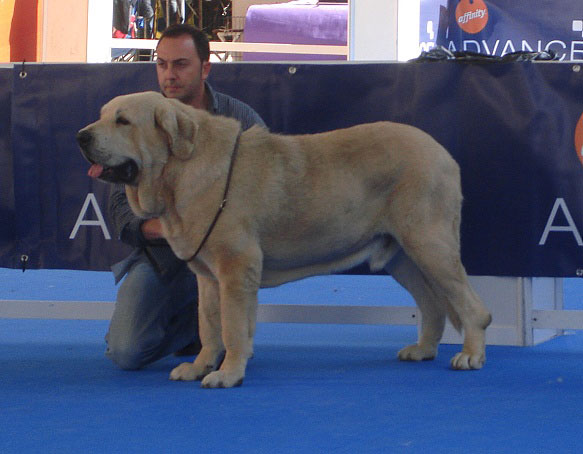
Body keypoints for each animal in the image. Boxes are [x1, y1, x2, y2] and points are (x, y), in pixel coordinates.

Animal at [76, 91, 492, 386]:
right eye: (101, 114)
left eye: (123, 120)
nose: (81, 135)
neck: (179, 170)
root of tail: (442, 152)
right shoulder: (208, 276)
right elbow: (209, 325)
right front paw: (199, 366)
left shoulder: (236, 266)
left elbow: (232, 326)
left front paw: (228, 374)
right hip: (400, 256)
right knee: (434, 305)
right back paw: (422, 350)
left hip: (429, 243)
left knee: (471, 306)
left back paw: (470, 355)